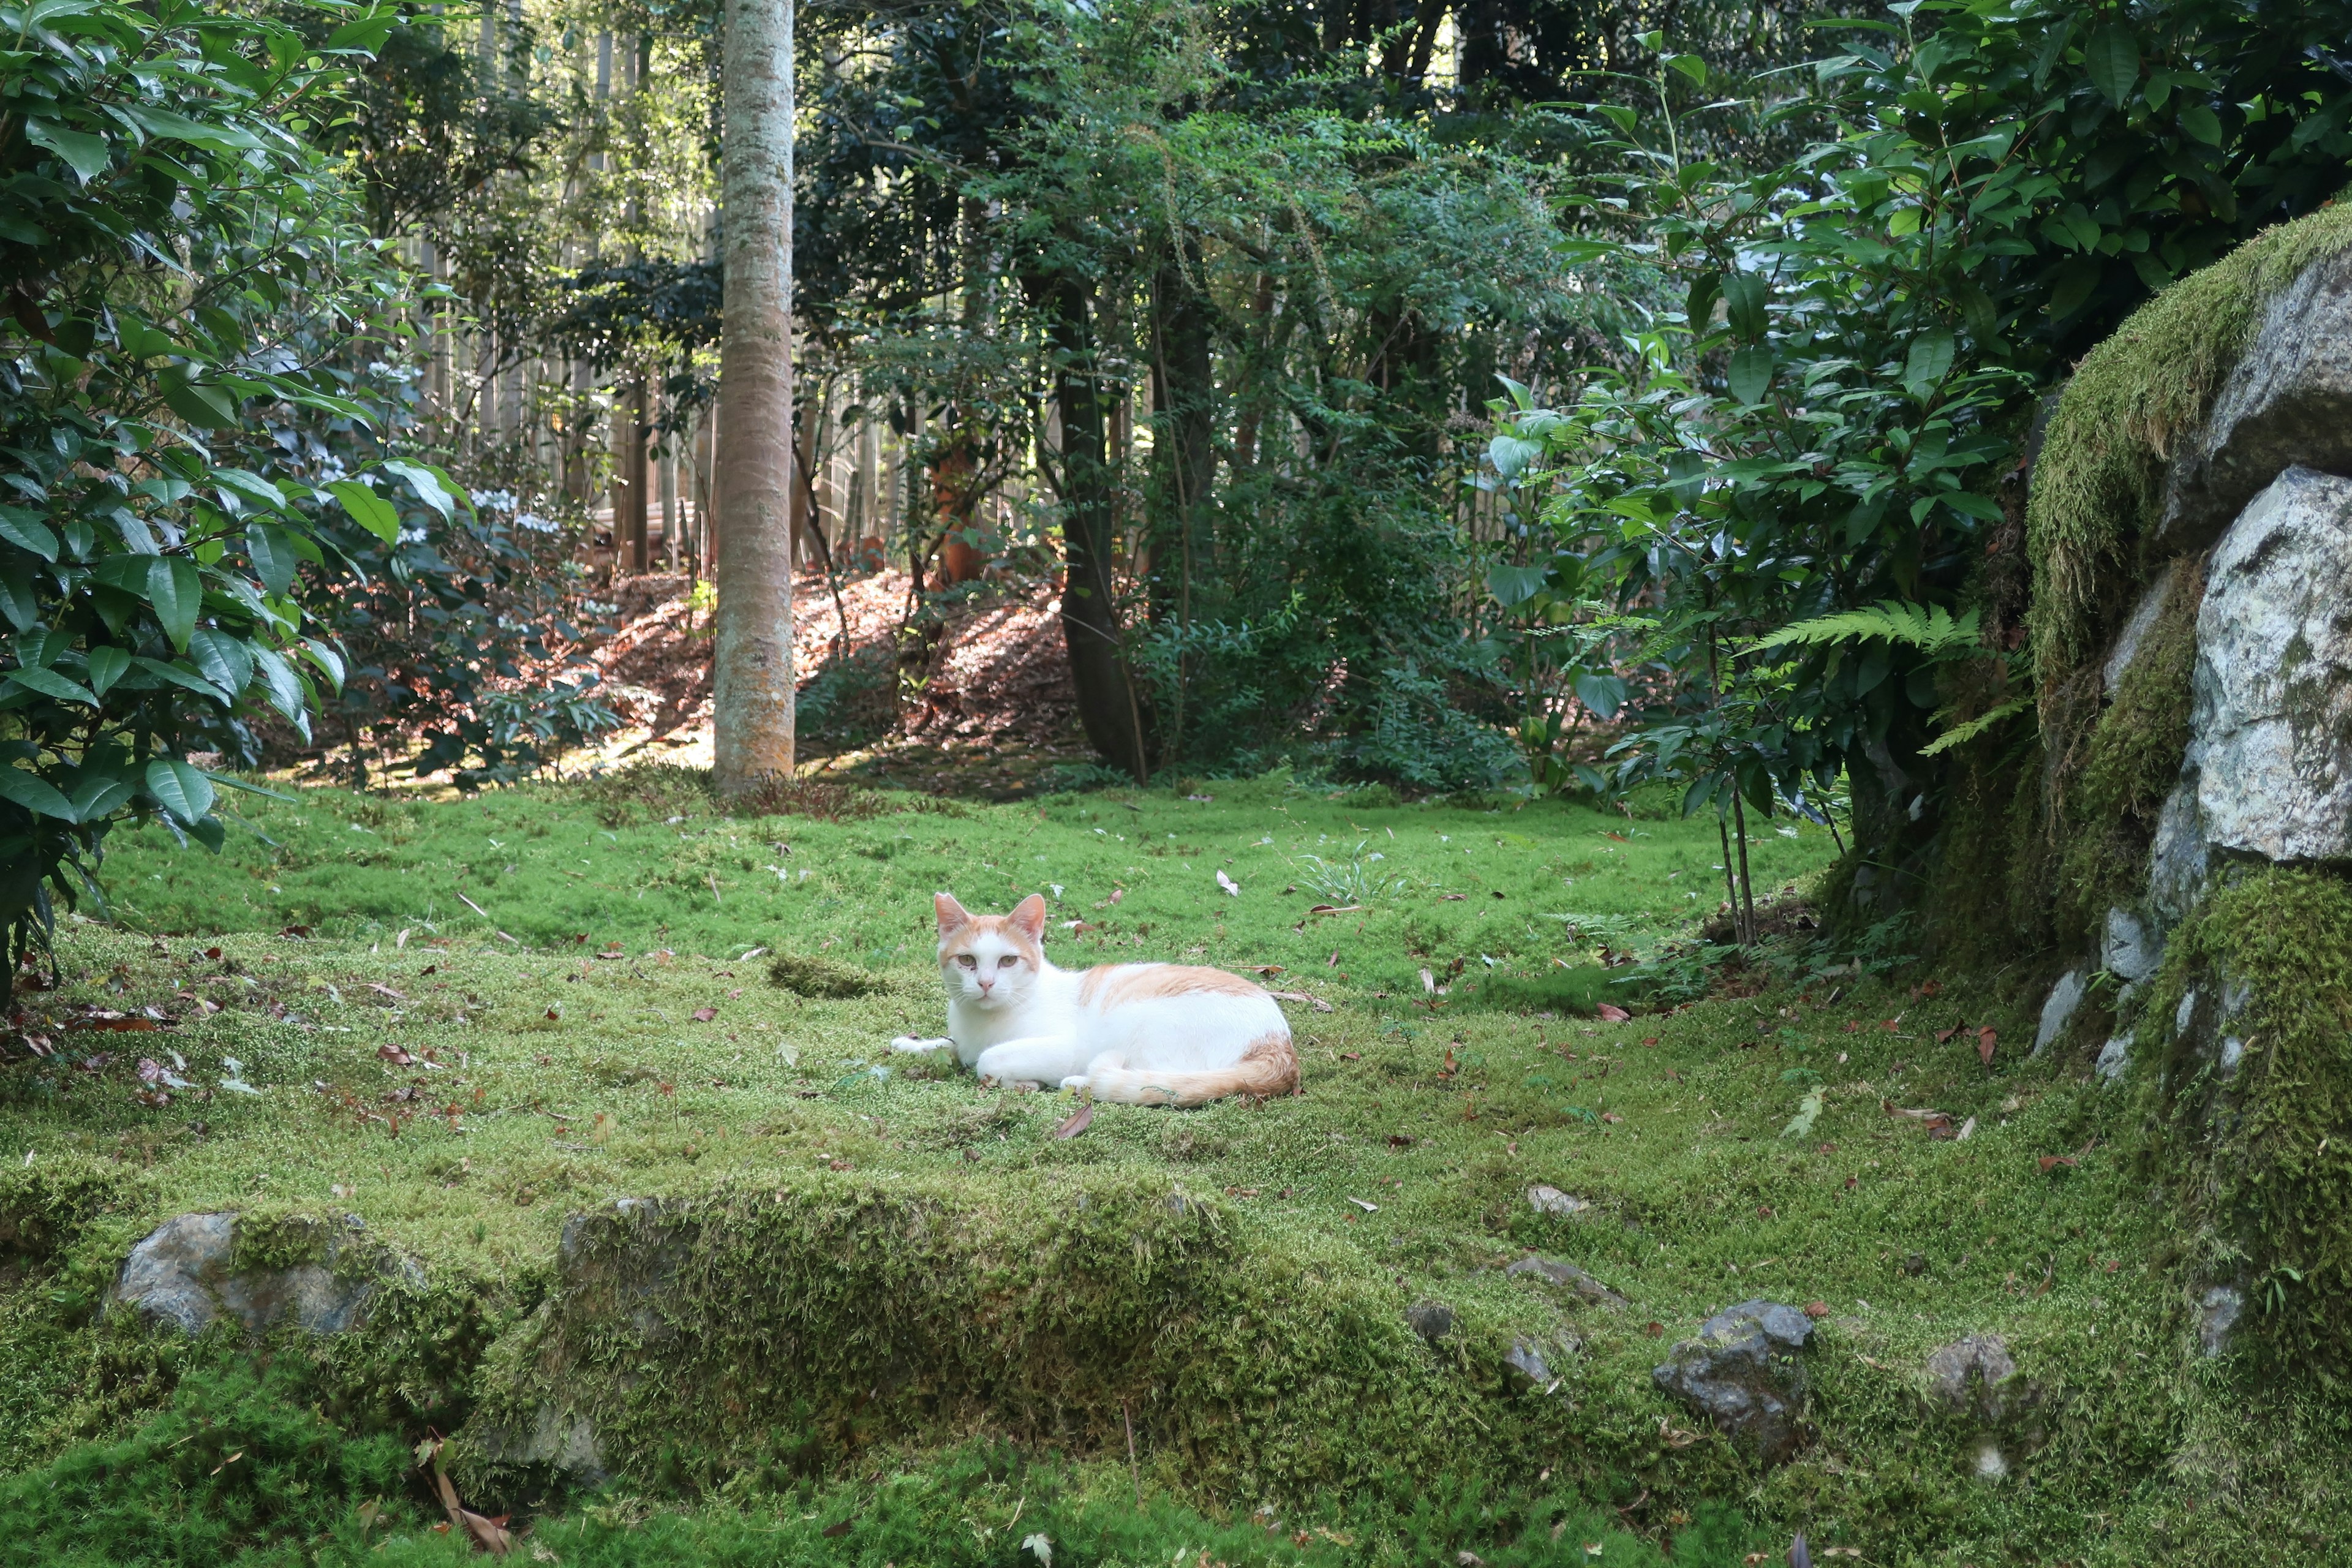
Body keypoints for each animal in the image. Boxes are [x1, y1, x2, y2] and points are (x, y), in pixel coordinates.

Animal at [889, 893, 1298, 1104]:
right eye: (967, 961)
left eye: (1007, 961)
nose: (986, 984)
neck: (981, 1021)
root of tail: (1279, 1044)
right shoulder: (963, 1039)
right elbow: (950, 1046)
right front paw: (912, 1045)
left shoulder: (1064, 1046)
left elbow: (988, 1060)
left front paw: (1023, 1082)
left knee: (1155, 1083)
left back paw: (1078, 1083)